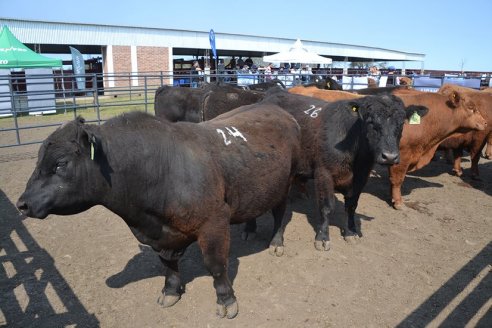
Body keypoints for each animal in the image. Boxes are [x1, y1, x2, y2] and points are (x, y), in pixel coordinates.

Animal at [16, 105, 300, 320]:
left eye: (60, 163)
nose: (22, 203)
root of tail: (276, 108)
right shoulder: (159, 235)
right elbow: (168, 264)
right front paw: (171, 291)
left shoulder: (215, 222)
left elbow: (216, 265)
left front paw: (226, 299)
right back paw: (249, 230)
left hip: (285, 184)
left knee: (279, 214)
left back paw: (276, 242)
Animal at [250, 88, 426, 250]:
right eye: (370, 121)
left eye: (401, 123)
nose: (389, 156)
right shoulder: (324, 174)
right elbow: (327, 207)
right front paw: (322, 238)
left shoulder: (361, 177)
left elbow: (352, 206)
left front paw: (350, 232)